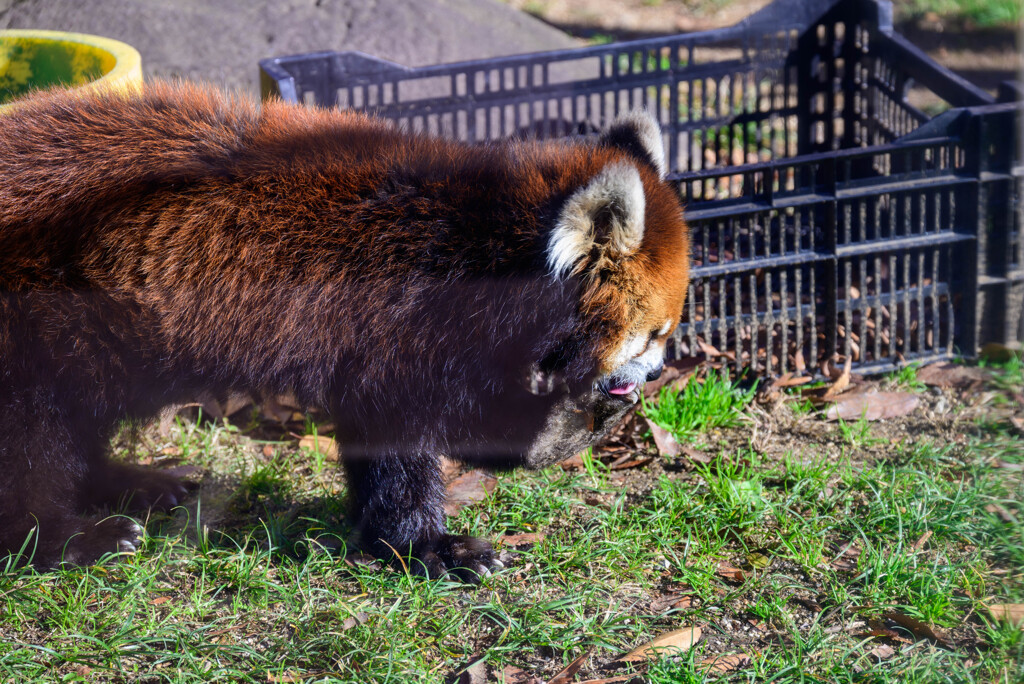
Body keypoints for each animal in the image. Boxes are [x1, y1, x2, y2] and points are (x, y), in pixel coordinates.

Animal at [2, 82, 688, 581]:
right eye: (655, 334)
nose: (657, 372)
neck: (487, 247)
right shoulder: (400, 332)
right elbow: (402, 446)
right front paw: (433, 547)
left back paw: (134, 485)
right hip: (30, 329)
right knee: (31, 442)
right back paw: (72, 539)